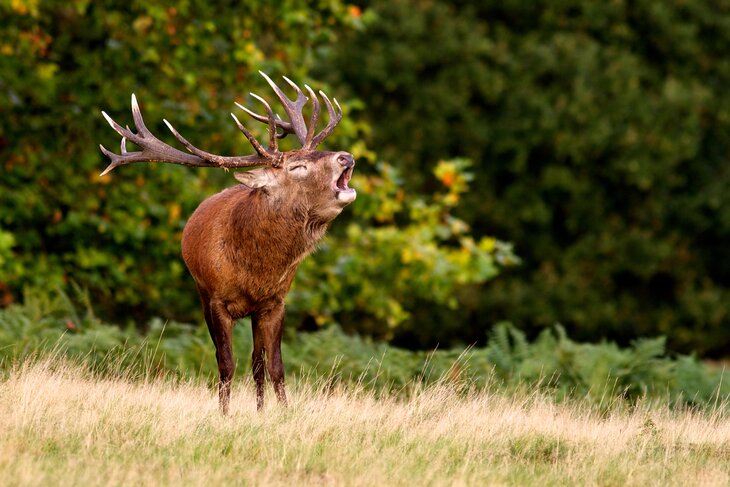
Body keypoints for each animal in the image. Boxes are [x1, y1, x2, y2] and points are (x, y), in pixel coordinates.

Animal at [99, 72, 356, 413]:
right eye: (297, 167)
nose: (346, 156)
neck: (256, 272)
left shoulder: (276, 302)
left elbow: (274, 366)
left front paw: (283, 413)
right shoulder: (217, 300)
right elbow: (226, 363)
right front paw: (224, 414)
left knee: (258, 363)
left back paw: (260, 410)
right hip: (201, 294)